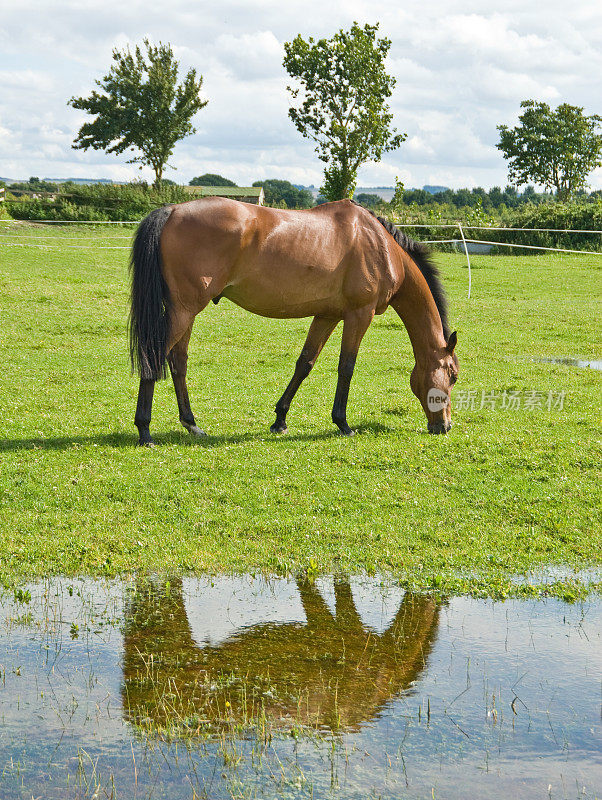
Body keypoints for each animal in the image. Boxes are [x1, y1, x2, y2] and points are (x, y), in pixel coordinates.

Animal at [129, 195, 458, 444]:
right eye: (453, 376)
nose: (445, 426)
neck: (380, 244)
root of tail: (171, 211)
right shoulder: (358, 315)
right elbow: (346, 367)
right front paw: (343, 423)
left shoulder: (327, 315)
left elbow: (305, 363)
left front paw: (280, 420)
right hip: (185, 310)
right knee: (155, 356)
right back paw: (145, 431)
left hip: (184, 312)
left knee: (178, 362)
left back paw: (192, 424)